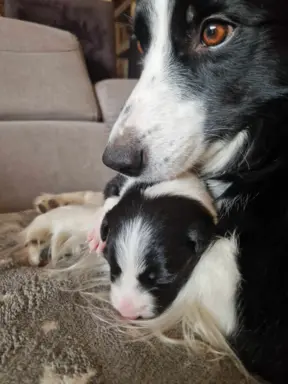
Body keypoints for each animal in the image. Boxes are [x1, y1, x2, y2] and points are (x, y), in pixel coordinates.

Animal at [23, 0, 288, 380]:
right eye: (140, 44)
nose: (115, 159)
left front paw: (55, 224)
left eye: (214, 32)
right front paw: (60, 203)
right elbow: (113, 198)